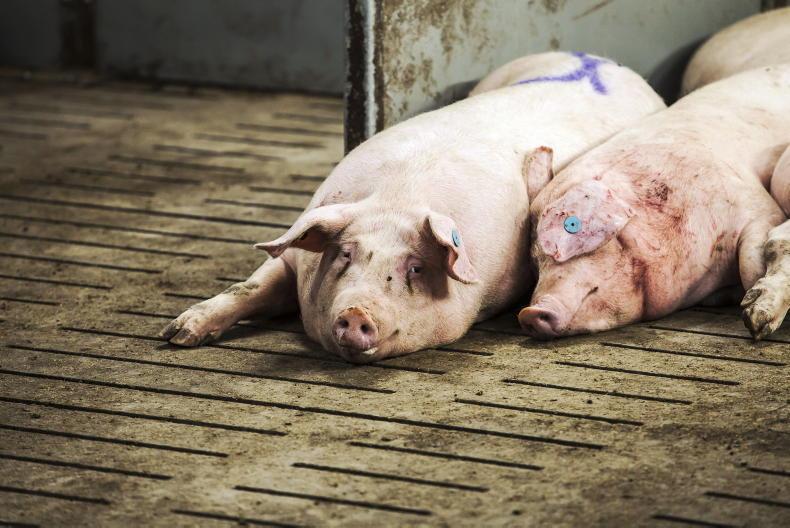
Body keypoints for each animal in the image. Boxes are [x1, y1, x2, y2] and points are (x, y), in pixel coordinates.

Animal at [161, 51, 665, 363]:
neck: (396, 200)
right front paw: (176, 335)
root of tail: (605, 62)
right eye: (345, 255)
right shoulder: (292, 258)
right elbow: (248, 287)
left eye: (415, 268)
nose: (357, 313)